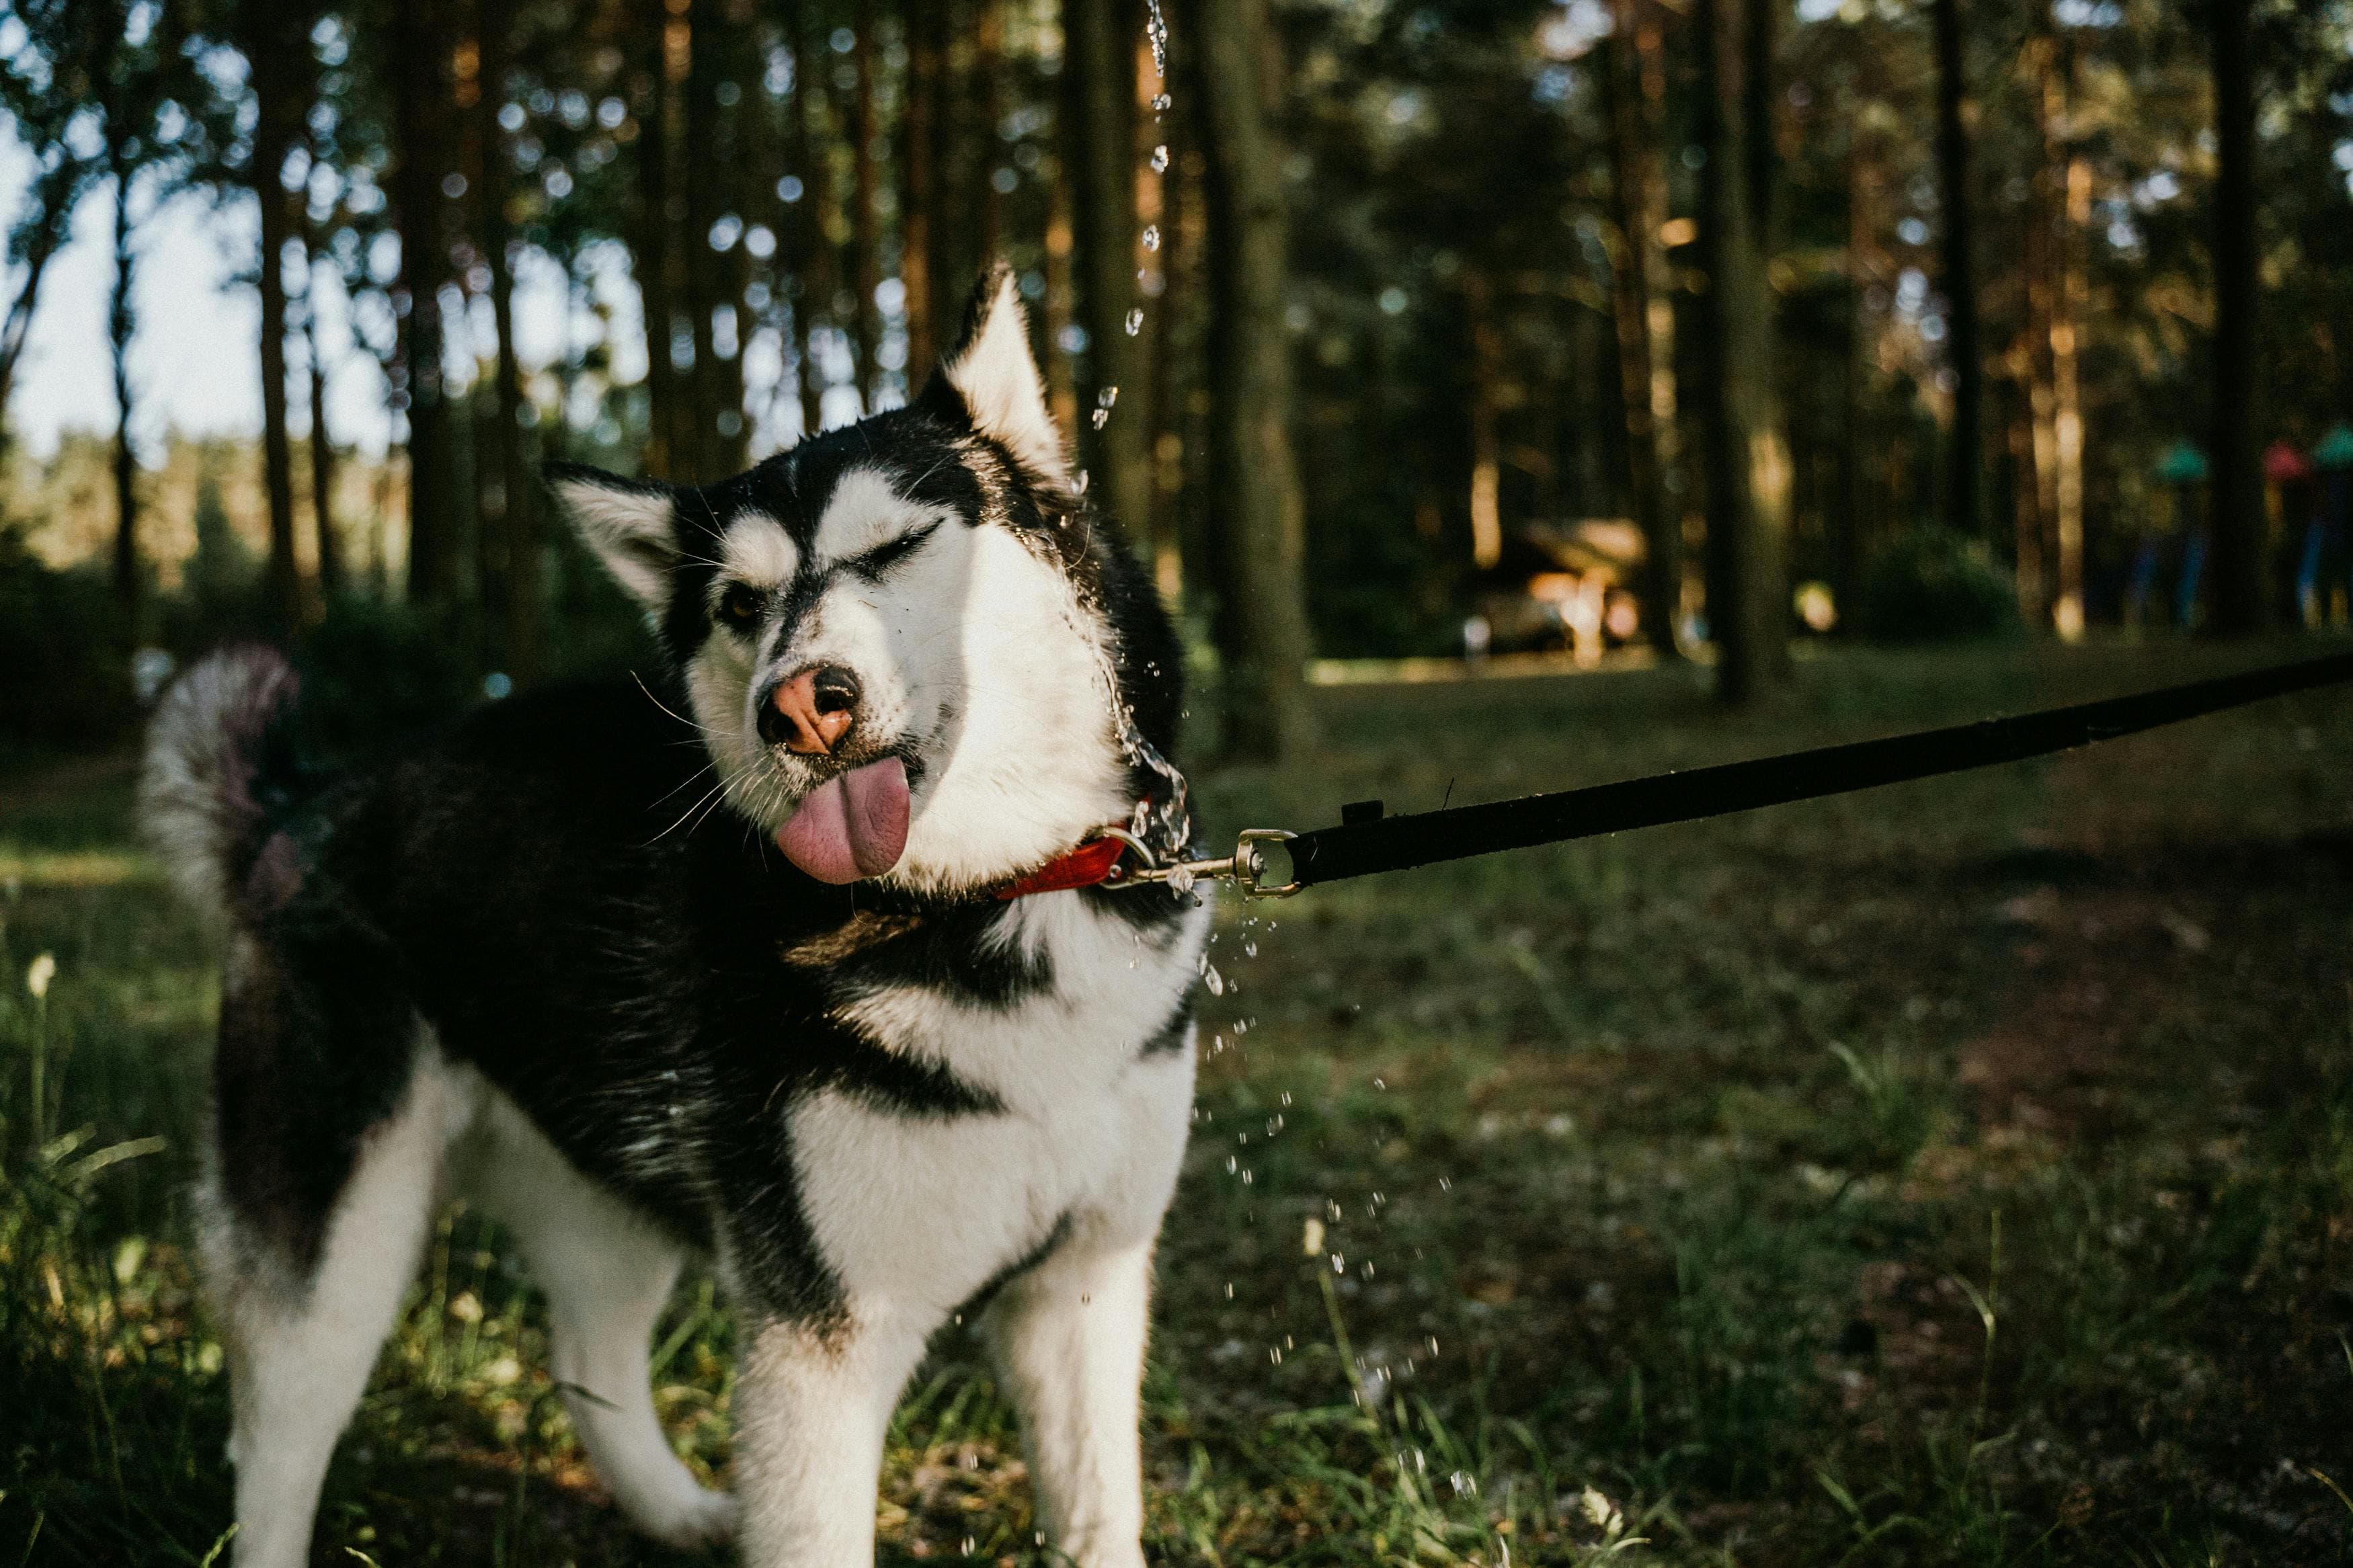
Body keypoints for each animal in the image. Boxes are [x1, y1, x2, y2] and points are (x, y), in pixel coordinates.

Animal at [142, 272, 1214, 1568]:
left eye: (895, 546)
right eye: (739, 604)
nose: (798, 706)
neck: (995, 899)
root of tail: (299, 806)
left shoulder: (1084, 1287)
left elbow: (1100, 1512)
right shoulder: (822, 1341)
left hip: (602, 1195)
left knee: (587, 1359)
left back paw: (672, 1508)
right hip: (335, 1246)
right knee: (275, 1451)